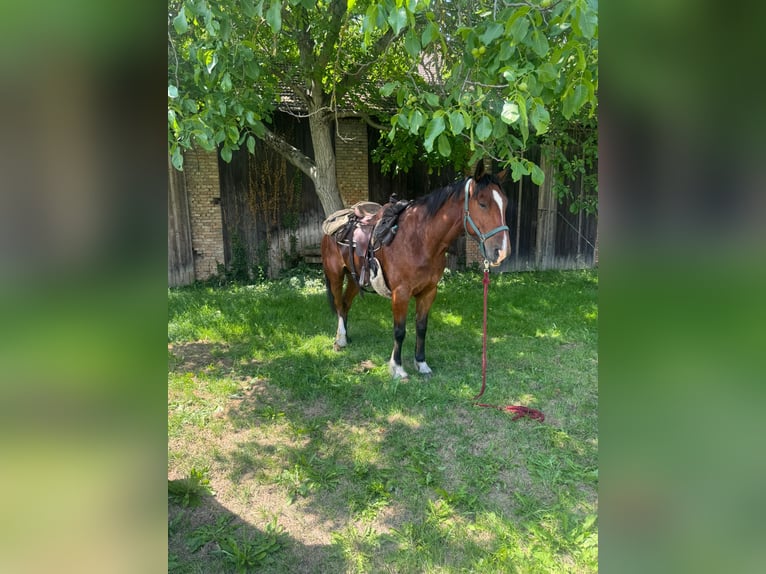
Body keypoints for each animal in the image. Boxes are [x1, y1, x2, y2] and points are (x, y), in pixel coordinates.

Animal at [321, 161, 511, 379]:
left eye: (505, 203)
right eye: (482, 203)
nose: (502, 252)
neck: (420, 239)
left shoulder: (428, 292)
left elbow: (421, 327)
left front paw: (421, 363)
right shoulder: (401, 294)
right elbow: (400, 331)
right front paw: (397, 368)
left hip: (354, 278)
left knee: (345, 304)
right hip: (335, 275)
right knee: (338, 304)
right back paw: (340, 339)